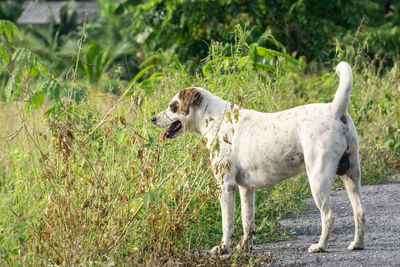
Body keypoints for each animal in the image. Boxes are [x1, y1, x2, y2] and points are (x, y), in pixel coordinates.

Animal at [151, 61, 366, 254]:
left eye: (173, 107)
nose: (152, 118)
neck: (215, 118)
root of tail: (335, 110)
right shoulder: (247, 189)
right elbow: (248, 223)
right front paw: (244, 247)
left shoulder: (226, 186)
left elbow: (227, 223)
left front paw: (223, 248)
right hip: (351, 176)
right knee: (359, 212)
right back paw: (357, 244)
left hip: (318, 180)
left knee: (328, 216)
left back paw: (320, 246)